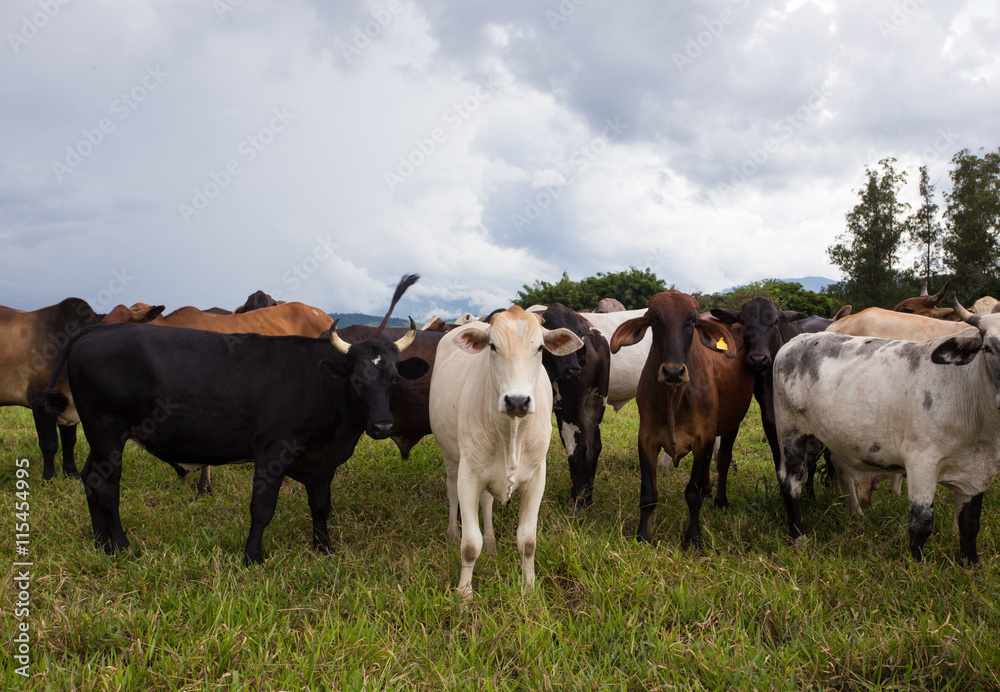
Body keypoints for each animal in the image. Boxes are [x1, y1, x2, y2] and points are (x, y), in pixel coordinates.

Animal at [40, 274, 426, 564]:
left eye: (393, 379)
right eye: (357, 381)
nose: (383, 426)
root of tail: (96, 332)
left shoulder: (322, 462)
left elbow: (321, 506)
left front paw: (324, 549)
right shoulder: (272, 451)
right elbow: (262, 507)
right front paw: (252, 557)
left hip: (100, 436)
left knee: (90, 478)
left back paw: (100, 543)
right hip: (106, 430)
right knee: (106, 486)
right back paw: (120, 545)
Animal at [432, 306, 584, 596]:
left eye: (540, 348)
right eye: (492, 346)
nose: (517, 401)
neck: (511, 436)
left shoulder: (537, 478)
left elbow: (528, 541)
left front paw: (529, 588)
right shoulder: (469, 476)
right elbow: (470, 545)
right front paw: (464, 594)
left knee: (487, 502)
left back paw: (491, 543)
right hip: (451, 457)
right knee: (451, 491)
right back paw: (451, 534)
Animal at [540, 306, 608, 506]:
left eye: (578, 332)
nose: (573, 369)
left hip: (567, 410)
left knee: (576, 449)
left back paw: (575, 505)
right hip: (595, 403)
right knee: (593, 447)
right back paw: (587, 500)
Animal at [608, 290, 752, 548]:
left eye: (692, 321)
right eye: (654, 319)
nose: (673, 372)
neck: (673, 397)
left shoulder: (704, 437)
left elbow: (692, 494)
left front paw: (693, 539)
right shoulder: (646, 438)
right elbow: (648, 494)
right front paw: (642, 536)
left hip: (731, 425)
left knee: (723, 460)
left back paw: (720, 500)